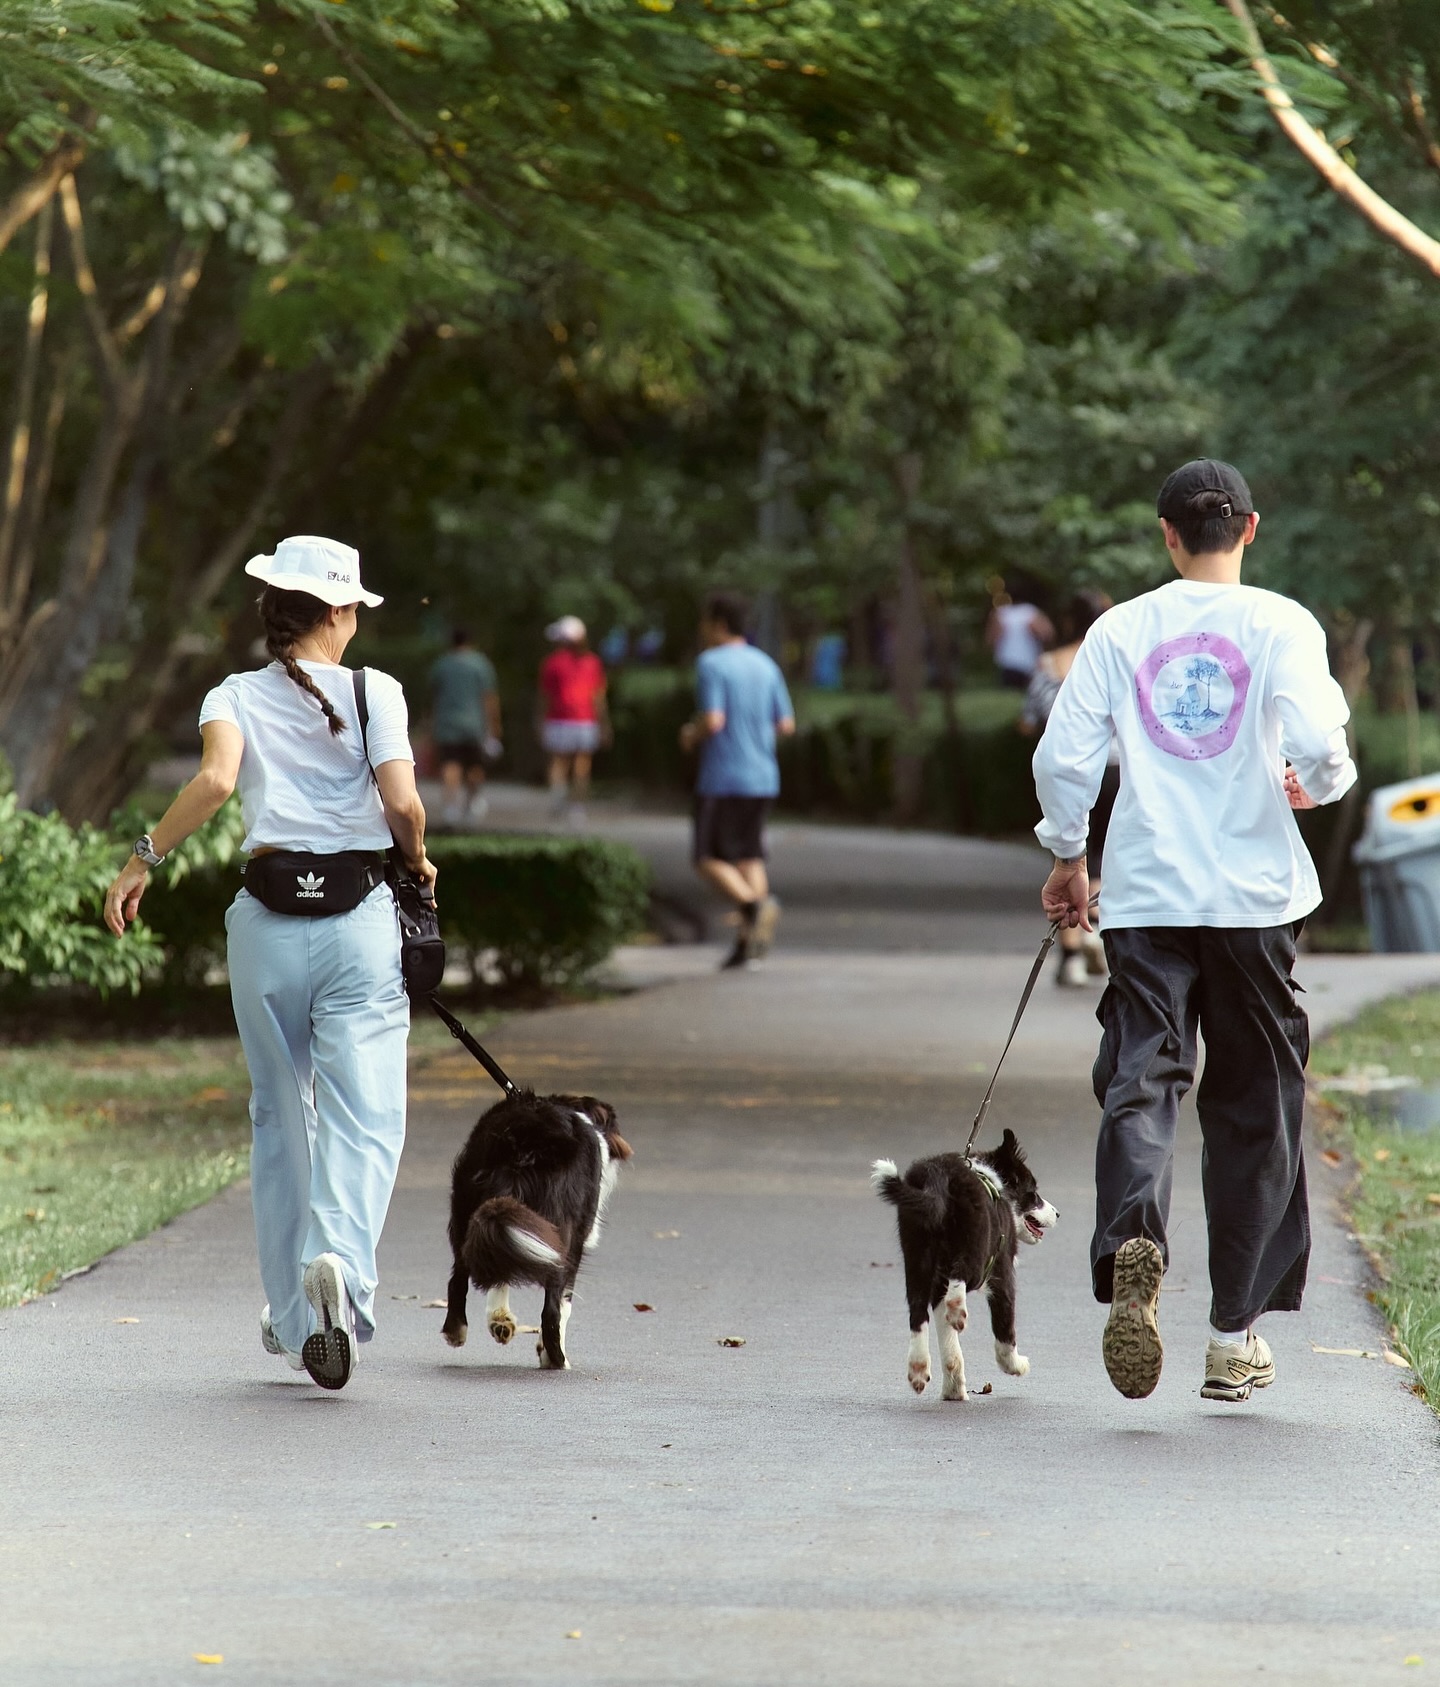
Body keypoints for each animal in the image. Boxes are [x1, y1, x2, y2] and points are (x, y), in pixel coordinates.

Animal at [438, 1093, 630, 1369]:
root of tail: (523, 1141)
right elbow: (564, 1305)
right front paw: (547, 1352)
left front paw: (500, 1320)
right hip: (563, 1235)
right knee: (552, 1308)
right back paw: (558, 1360)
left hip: (466, 1206)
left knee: (460, 1275)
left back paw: (458, 1330)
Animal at [870, 1133, 1058, 1396]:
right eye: (1033, 1193)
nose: (1057, 1214)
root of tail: (937, 1176)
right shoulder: (1003, 1271)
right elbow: (1004, 1330)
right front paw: (1015, 1365)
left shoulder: (937, 1288)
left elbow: (949, 1344)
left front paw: (953, 1390)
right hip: (975, 1249)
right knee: (961, 1276)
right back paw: (957, 1309)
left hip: (917, 1255)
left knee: (917, 1312)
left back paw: (918, 1368)